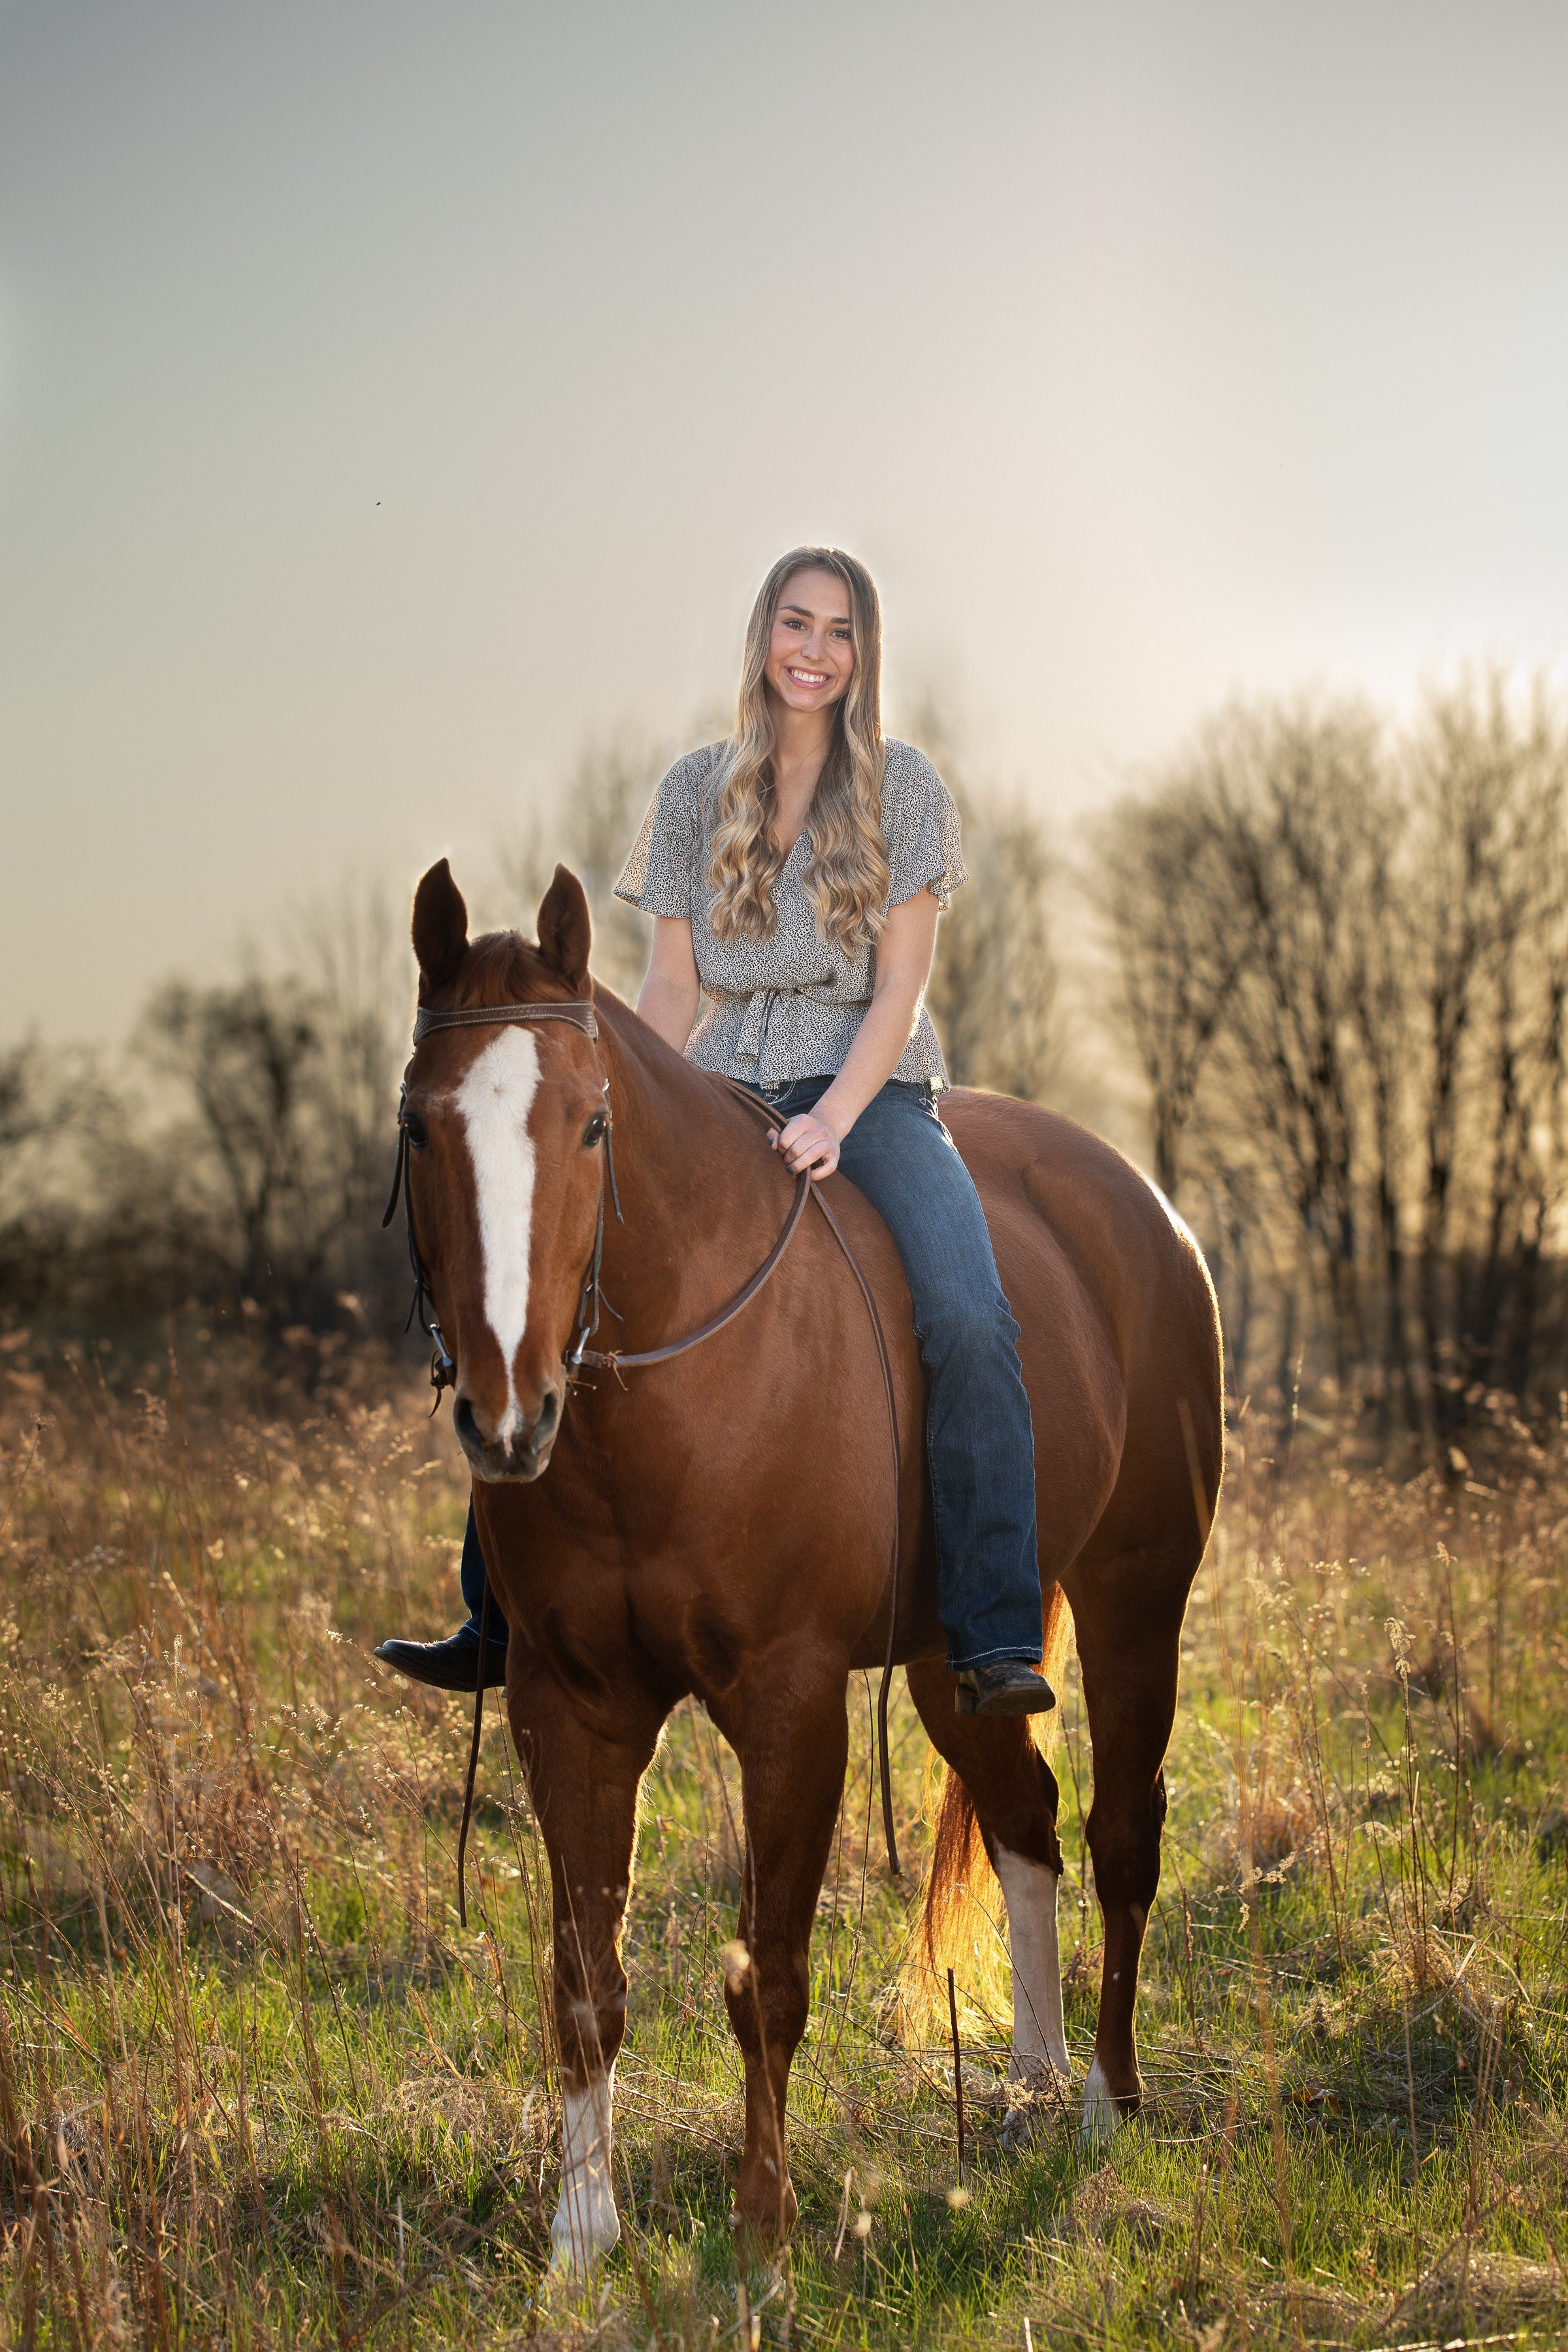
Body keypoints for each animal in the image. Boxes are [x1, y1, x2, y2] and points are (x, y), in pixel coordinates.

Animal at [392, 857, 1224, 2276]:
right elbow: (584, 1981)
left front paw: (765, 2235)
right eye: (418, 1129)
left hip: (1135, 1606)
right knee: (1027, 1822)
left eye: (593, 1127)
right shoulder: (570, 1709)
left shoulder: (792, 1705)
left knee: (1120, 1837)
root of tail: (1147, 1213)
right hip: (959, 1659)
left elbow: (768, 1976)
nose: (511, 1417)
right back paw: (1030, 2085)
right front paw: (582, 2240)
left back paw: (1107, 2106)